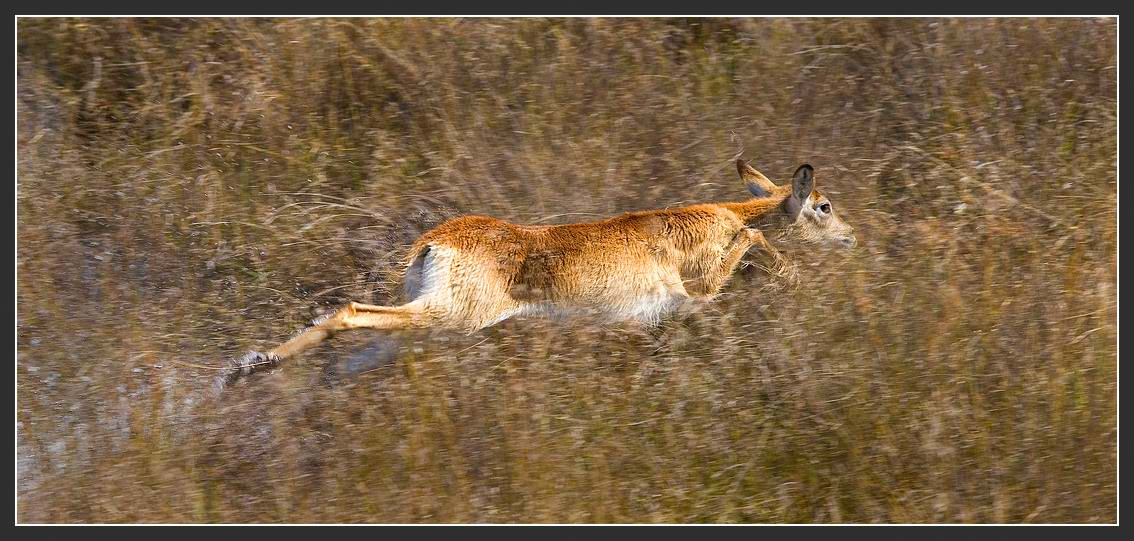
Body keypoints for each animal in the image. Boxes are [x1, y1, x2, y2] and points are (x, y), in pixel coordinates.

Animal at [224, 159, 856, 383]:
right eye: (824, 205)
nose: (852, 236)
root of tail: (433, 242)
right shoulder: (694, 290)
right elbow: (752, 239)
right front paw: (788, 272)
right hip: (451, 316)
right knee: (351, 311)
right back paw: (245, 369)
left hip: (429, 323)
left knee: (352, 353)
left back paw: (254, 371)